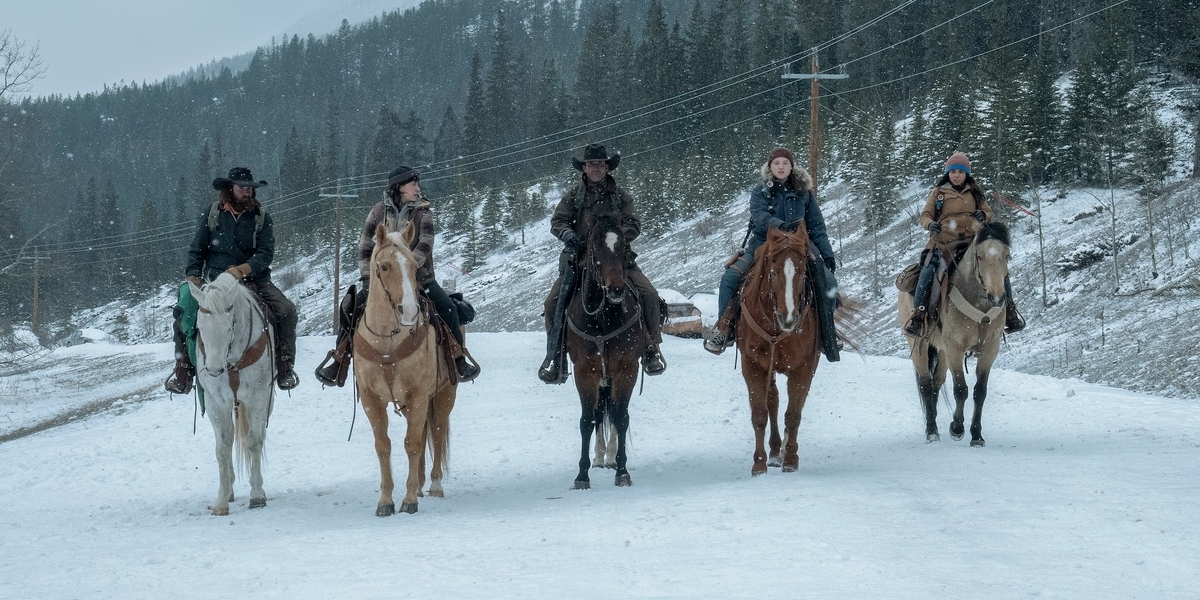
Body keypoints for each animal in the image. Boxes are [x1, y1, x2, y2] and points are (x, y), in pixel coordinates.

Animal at [189, 272, 275, 516]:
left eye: (228, 327)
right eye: (199, 327)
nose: (214, 370)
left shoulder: (258, 397)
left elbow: (254, 441)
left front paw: (257, 495)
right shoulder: (216, 403)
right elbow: (223, 448)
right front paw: (221, 501)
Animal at [355, 222, 456, 516]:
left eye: (413, 265)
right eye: (384, 266)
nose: (409, 311)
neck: (387, 341)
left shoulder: (420, 394)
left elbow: (412, 444)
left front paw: (409, 500)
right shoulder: (371, 399)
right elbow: (383, 446)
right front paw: (385, 501)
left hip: (445, 394)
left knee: (436, 431)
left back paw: (433, 485)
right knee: (423, 434)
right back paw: (420, 484)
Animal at [564, 214, 648, 490]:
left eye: (623, 249)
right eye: (596, 250)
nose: (616, 290)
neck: (603, 317)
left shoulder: (627, 369)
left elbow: (621, 417)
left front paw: (622, 471)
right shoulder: (584, 372)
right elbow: (587, 420)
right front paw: (582, 475)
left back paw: (609, 457)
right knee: (600, 412)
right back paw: (600, 457)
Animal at [736, 226, 825, 476]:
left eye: (803, 272)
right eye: (773, 272)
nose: (789, 318)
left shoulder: (805, 367)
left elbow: (794, 414)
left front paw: (791, 459)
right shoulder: (752, 366)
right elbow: (759, 414)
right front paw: (758, 464)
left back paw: (782, 451)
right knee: (772, 401)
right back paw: (775, 452)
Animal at [898, 222, 1011, 446]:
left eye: (1006, 255)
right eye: (979, 256)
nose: (997, 298)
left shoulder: (990, 349)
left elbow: (980, 391)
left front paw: (976, 435)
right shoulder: (956, 349)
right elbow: (961, 389)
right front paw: (957, 428)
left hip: (941, 350)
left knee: (937, 382)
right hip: (919, 345)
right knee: (925, 384)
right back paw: (932, 431)